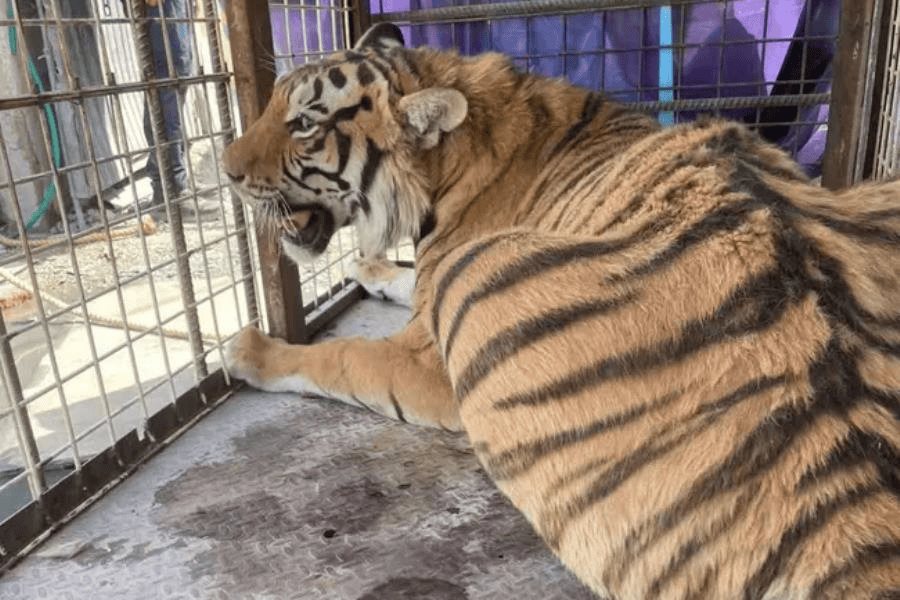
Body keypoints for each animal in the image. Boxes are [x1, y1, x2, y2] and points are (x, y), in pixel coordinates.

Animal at [221, 22, 900, 600]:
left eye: (303, 124)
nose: (225, 170)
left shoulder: (429, 355)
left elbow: (339, 357)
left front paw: (250, 350)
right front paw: (369, 268)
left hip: (478, 279)